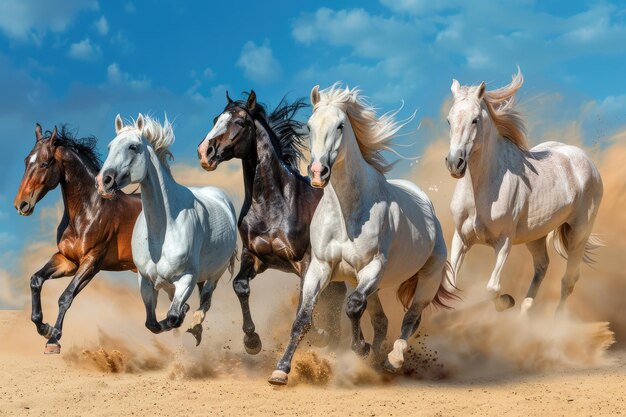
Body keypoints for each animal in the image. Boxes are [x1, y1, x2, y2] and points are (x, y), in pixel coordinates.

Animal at [13, 122, 141, 352]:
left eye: (45, 163)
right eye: (27, 161)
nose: (21, 204)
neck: (89, 210)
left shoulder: (91, 262)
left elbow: (66, 296)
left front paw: (53, 339)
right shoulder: (67, 260)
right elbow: (36, 280)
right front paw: (44, 327)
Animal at [97, 113, 236, 342]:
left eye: (133, 147)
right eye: (109, 147)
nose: (103, 182)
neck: (162, 231)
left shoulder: (187, 278)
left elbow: (172, 317)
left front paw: (181, 318)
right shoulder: (146, 281)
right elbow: (152, 323)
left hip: (216, 272)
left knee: (205, 300)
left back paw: (197, 326)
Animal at [196, 92, 346, 354]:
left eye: (241, 122)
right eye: (216, 119)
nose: (205, 152)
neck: (273, 205)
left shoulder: (305, 261)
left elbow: (304, 304)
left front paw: (316, 335)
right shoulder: (255, 256)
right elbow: (240, 286)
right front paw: (252, 341)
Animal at [268, 83, 454, 384]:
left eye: (340, 125)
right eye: (309, 126)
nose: (318, 172)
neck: (347, 213)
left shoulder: (372, 266)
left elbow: (353, 306)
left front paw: (361, 347)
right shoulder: (321, 267)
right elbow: (304, 318)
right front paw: (281, 370)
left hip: (428, 277)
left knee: (411, 318)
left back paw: (392, 360)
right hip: (373, 284)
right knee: (381, 320)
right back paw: (375, 362)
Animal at [442, 70, 604, 314]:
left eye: (475, 120)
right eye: (449, 120)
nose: (455, 163)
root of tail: (585, 159)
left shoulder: (504, 241)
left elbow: (492, 288)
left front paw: (507, 301)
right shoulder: (461, 238)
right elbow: (450, 287)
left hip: (579, 232)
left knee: (568, 280)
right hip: (536, 235)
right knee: (542, 266)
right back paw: (526, 309)